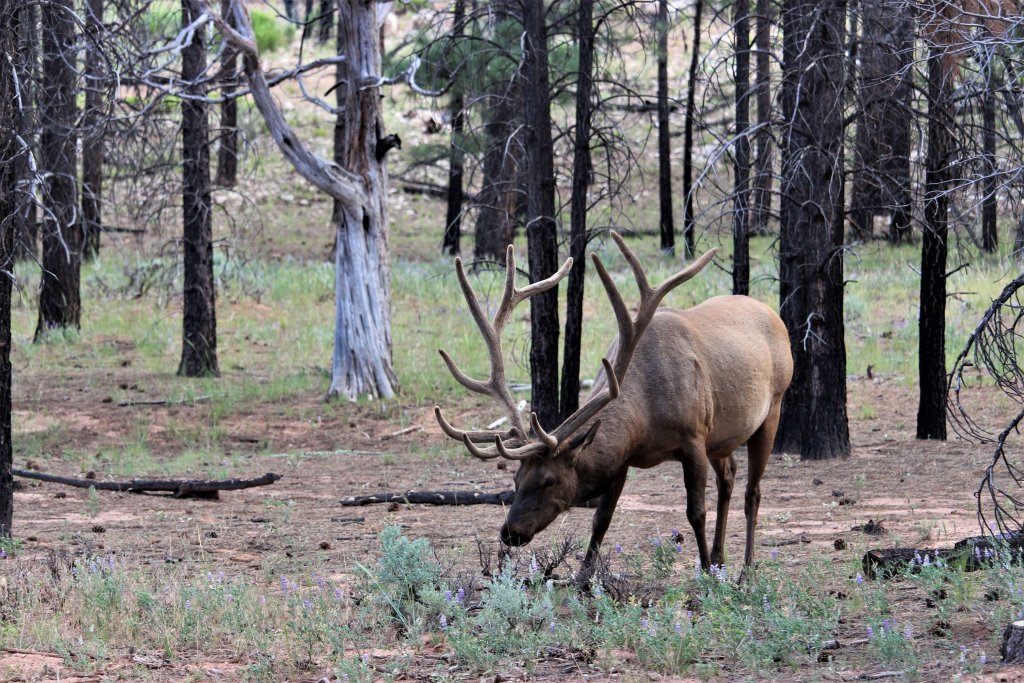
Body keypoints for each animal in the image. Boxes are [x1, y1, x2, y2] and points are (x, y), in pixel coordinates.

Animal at [432, 232, 790, 573]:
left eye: (549, 480)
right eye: (516, 479)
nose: (509, 532)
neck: (647, 417)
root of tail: (776, 317)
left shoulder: (694, 438)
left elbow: (696, 512)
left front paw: (703, 572)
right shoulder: (626, 456)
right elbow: (602, 517)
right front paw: (583, 579)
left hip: (772, 406)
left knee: (752, 492)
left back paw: (745, 570)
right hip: (723, 436)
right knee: (728, 476)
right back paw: (720, 558)